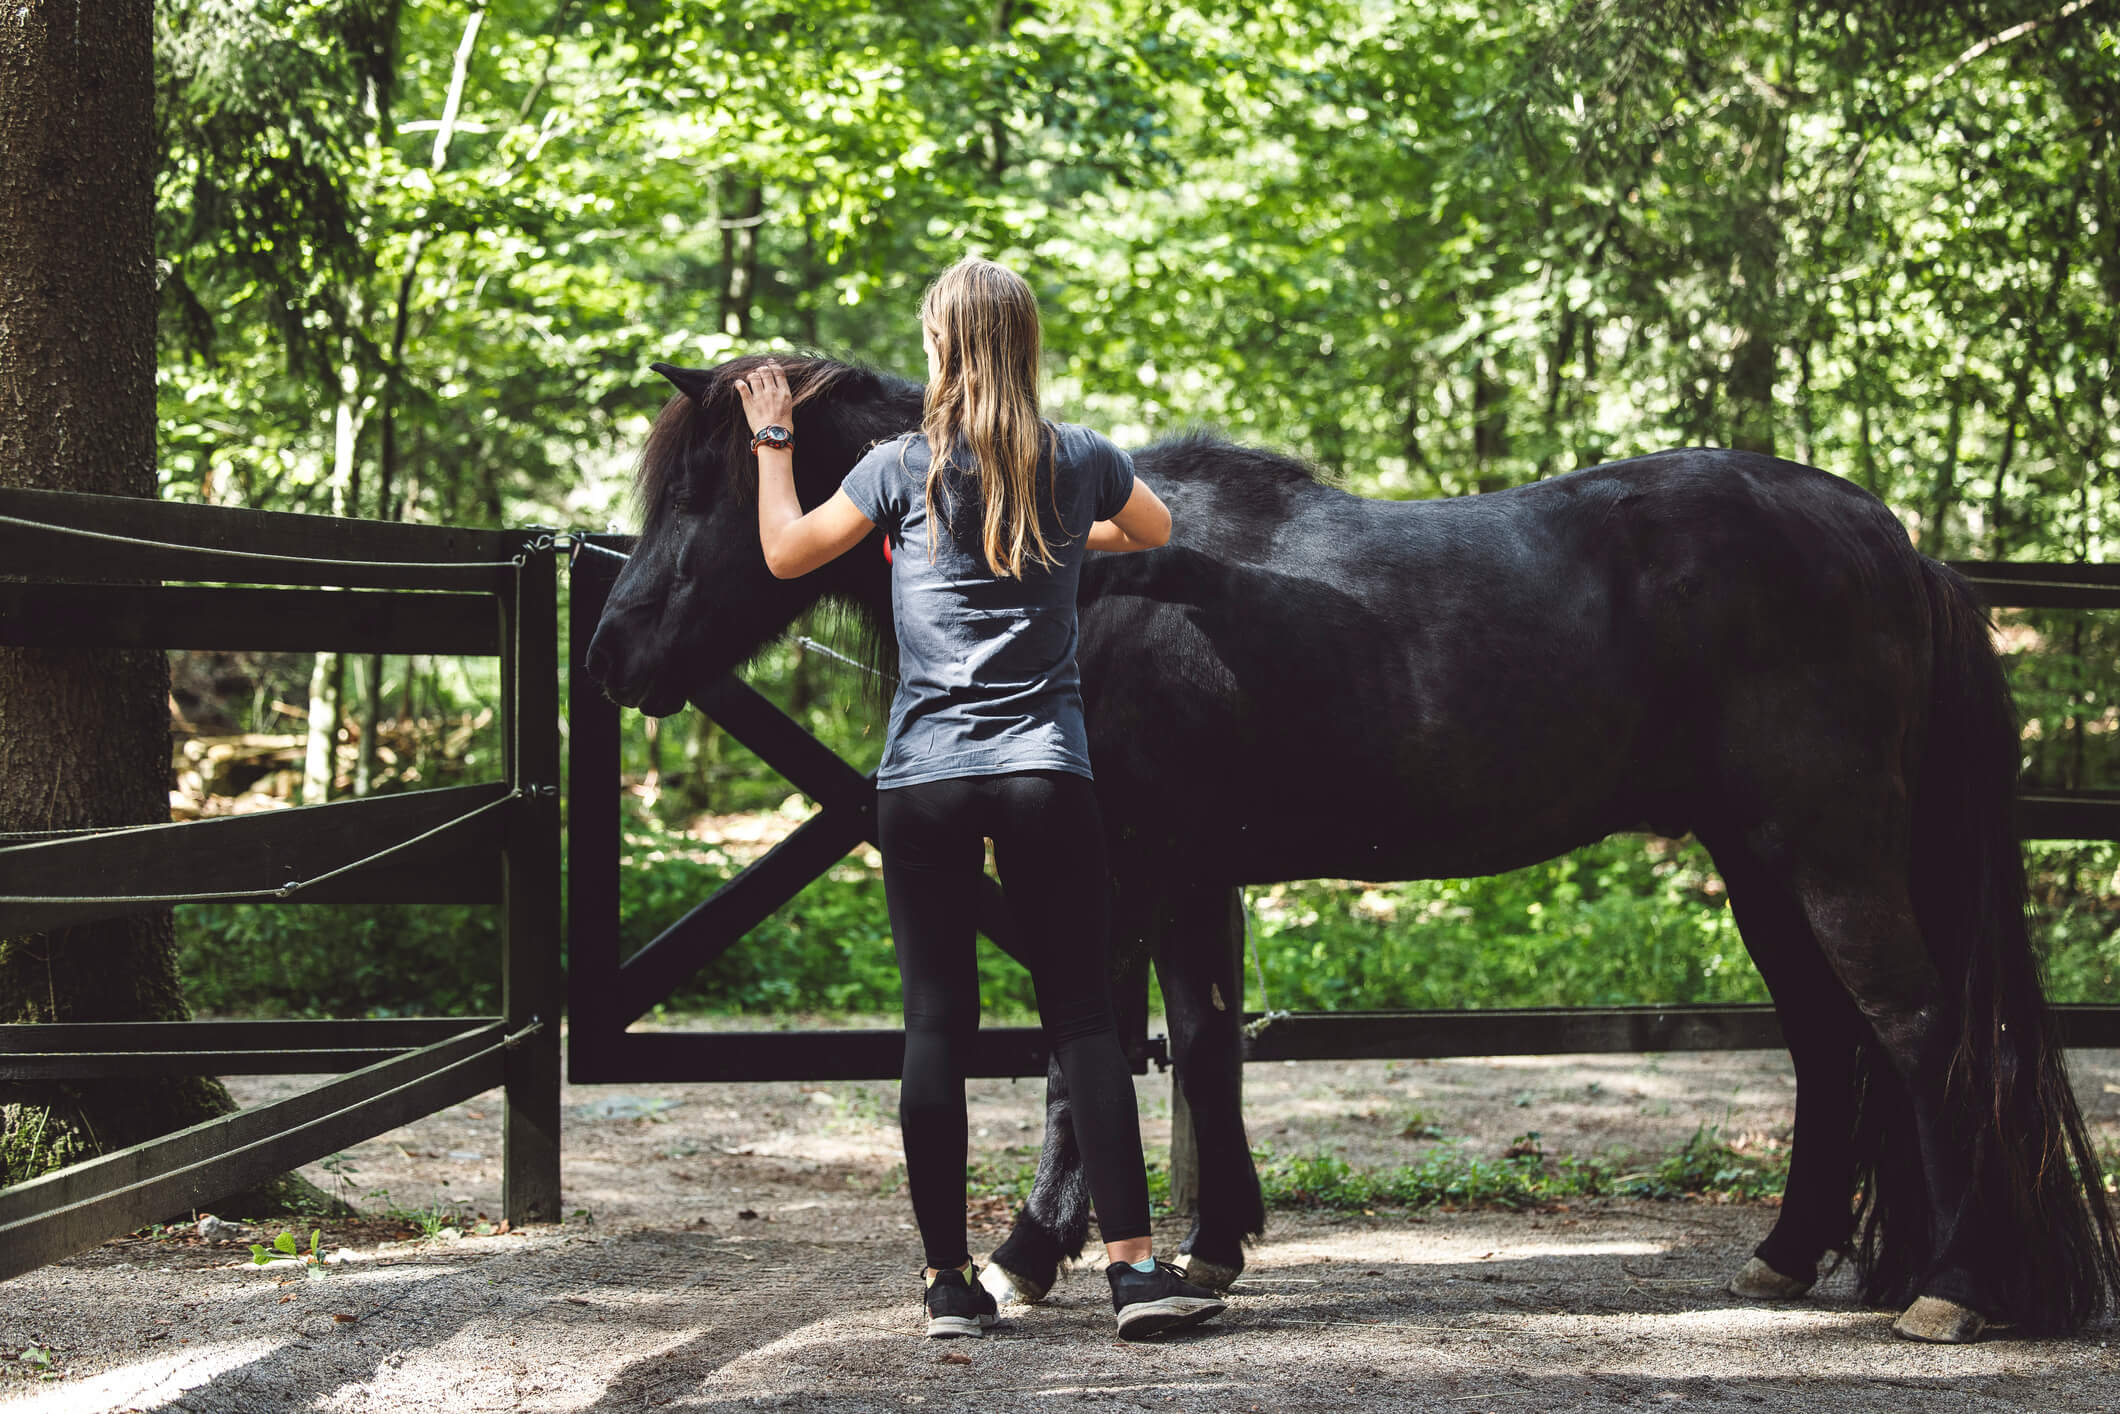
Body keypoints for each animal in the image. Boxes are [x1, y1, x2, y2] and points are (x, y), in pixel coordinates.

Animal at [582, 352, 2120, 1343]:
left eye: (707, 491)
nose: (610, 656)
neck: (1081, 562)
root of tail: (1895, 544)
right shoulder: (1191, 874)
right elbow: (1201, 1042)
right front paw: (1208, 1248)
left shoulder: (1114, 869)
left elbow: (1084, 1066)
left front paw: (1025, 1259)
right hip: (1757, 863)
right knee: (1827, 1045)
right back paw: (1804, 1262)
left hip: (1826, 852)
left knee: (1917, 1033)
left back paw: (1953, 1287)